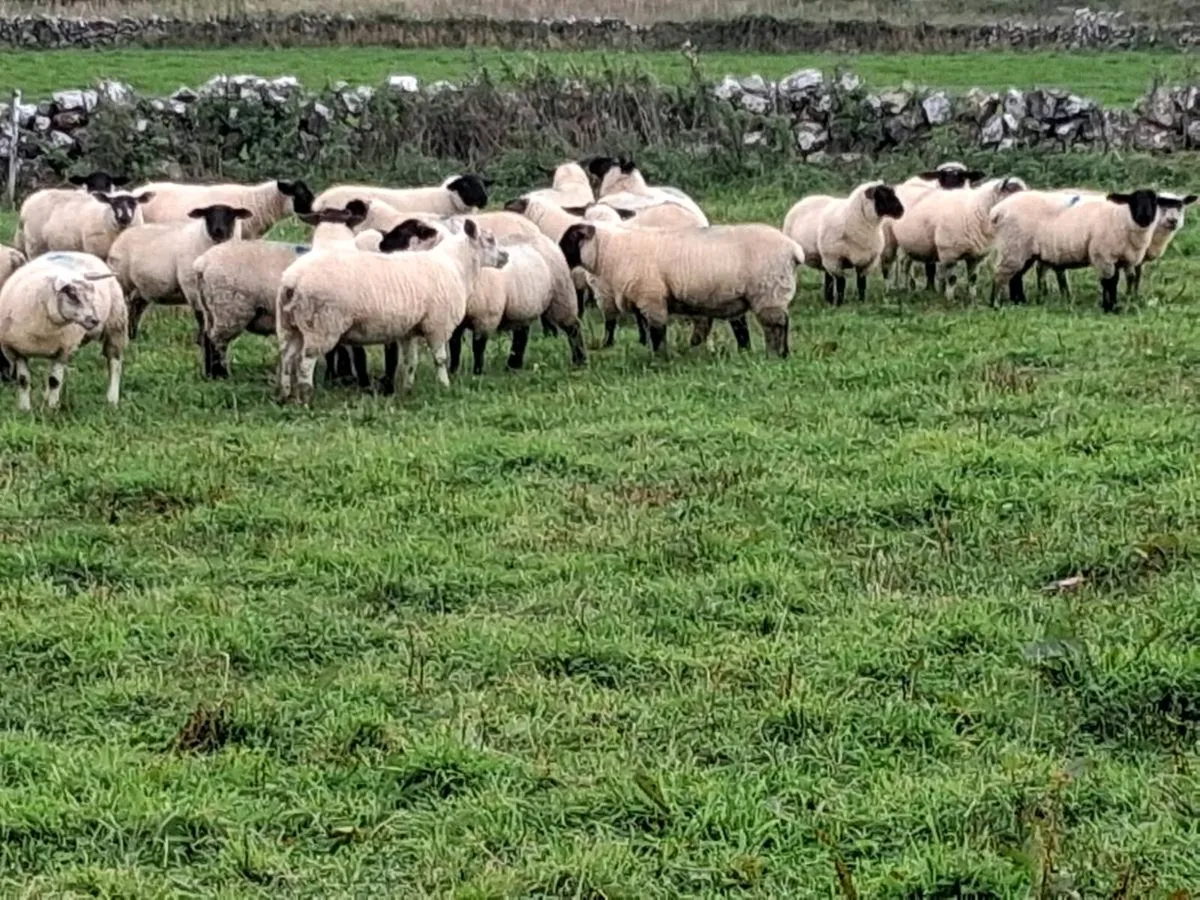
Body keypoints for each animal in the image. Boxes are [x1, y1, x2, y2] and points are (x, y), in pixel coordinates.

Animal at [0, 251, 127, 410]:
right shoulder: (15, 351)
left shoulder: (64, 350)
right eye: (72, 295)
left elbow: (55, 381)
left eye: (92, 293)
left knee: (115, 364)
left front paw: (52, 409)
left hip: (116, 324)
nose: (95, 320)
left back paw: (112, 400)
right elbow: (23, 381)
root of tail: (79, 253)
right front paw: (25, 409)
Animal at [107, 204, 252, 339]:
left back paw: (133, 336)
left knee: (135, 309)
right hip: (123, 281)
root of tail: (123, 235)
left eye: (231, 215)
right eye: (207, 215)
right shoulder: (191, 287)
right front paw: (200, 341)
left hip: (142, 288)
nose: (218, 231)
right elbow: (200, 316)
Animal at [275, 218, 507, 404]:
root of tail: (292, 281)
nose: (506, 256)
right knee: (305, 363)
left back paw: (285, 396)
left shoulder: (410, 331)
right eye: (489, 239)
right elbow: (440, 360)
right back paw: (306, 398)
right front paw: (444, 386)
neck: (456, 266)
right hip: (321, 326)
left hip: (291, 325)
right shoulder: (437, 326)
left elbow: (410, 362)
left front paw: (408, 389)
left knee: (287, 358)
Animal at [559, 221, 802, 358]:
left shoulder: (651, 297)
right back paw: (784, 354)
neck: (610, 251)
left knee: (775, 326)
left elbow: (657, 331)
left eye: (569, 239)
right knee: (784, 321)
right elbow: (647, 330)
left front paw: (659, 359)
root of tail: (793, 248)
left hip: (768, 292)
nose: (557, 254)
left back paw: (773, 355)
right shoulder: (643, 301)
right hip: (773, 294)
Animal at [990, 189, 1162, 311]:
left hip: (1022, 251)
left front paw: (1113, 304)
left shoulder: (1122, 259)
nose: (1145, 217)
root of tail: (998, 210)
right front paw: (1109, 307)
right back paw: (995, 304)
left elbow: (1118, 280)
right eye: (1133, 200)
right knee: (1000, 275)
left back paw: (1019, 302)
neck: (1121, 217)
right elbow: (1109, 282)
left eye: (1154, 202)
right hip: (1013, 245)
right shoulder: (1103, 255)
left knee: (1016, 276)